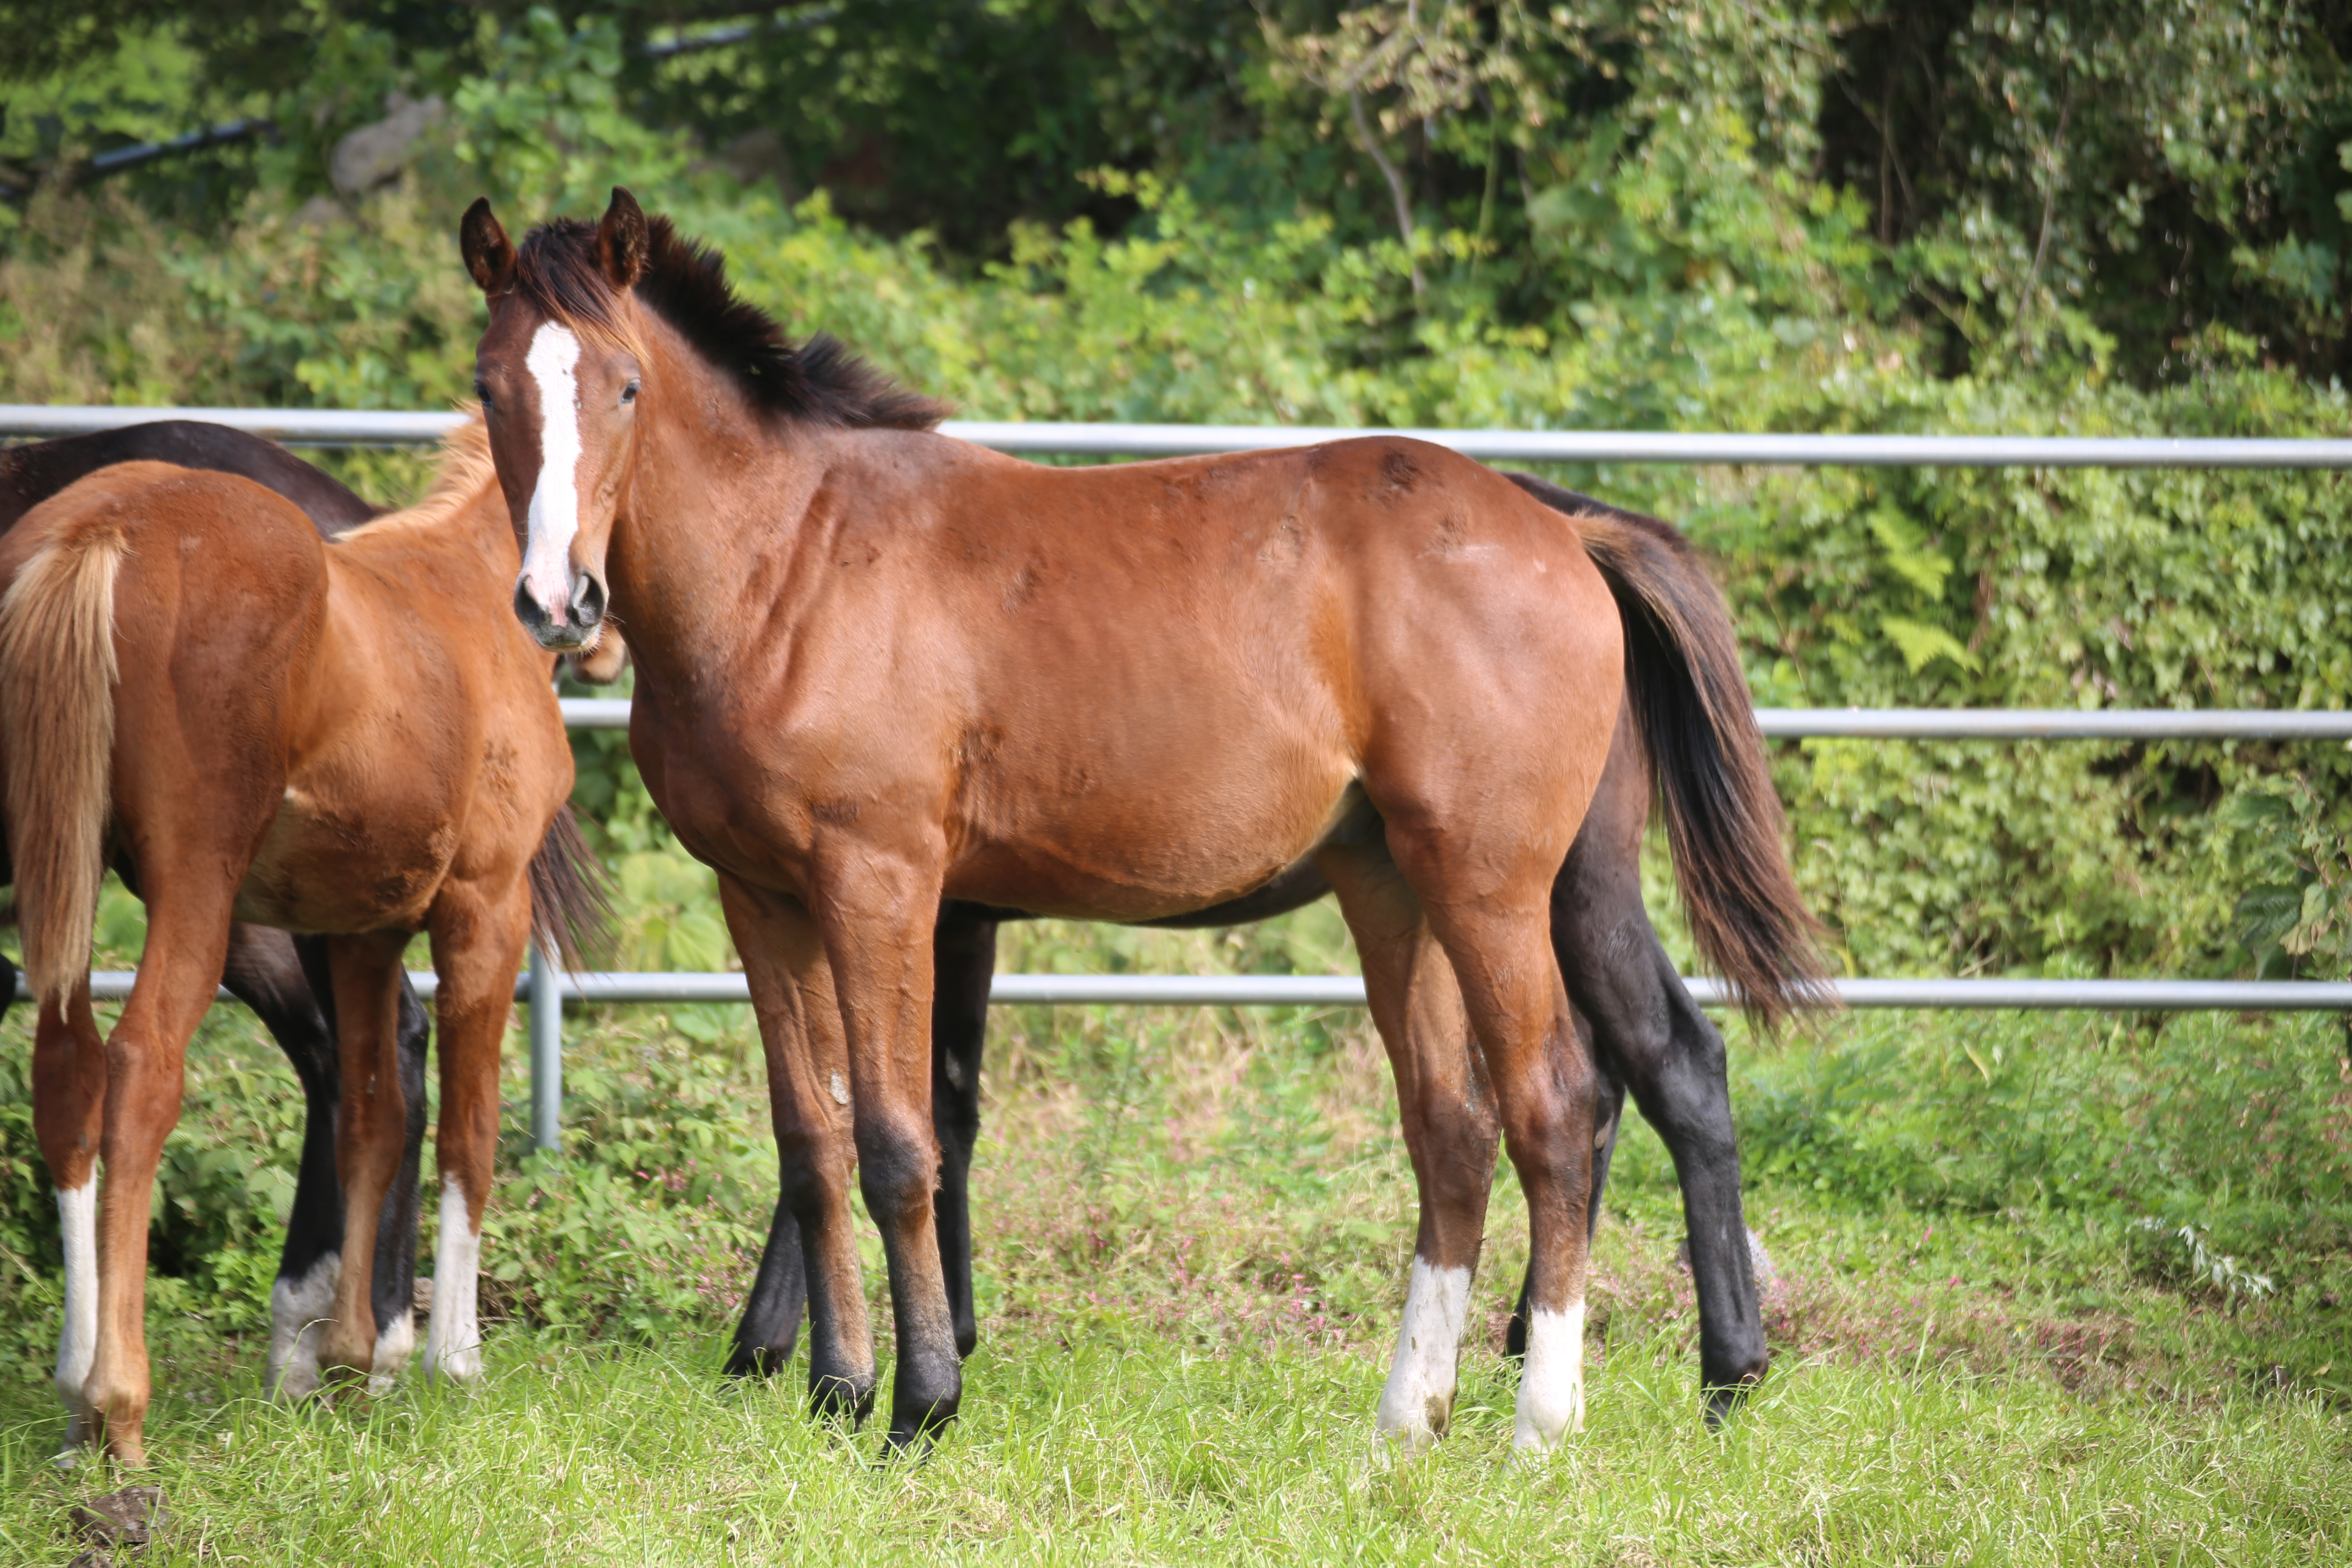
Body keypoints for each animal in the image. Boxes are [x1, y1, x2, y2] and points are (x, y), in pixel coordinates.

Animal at [2, 416, 607, 1457]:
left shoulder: (360, 928)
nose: (584, 615)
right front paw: (453, 1359)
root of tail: (105, 523)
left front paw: (358, 1355)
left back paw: (110, 1390)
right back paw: (121, 1397)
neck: (464, 585)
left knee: (74, 1070)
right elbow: (471, 1129)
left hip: (80, 879)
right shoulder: (485, 910)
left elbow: (377, 1114)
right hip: (198, 894)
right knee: (144, 1069)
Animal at [459, 193, 1815, 1457]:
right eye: (488, 385)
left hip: (1496, 886)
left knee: (1561, 1104)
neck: (790, 564)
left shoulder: (882, 883)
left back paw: (1547, 1419)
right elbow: (813, 1142)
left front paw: (921, 1403)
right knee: (1466, 1120)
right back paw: (1420, 1416)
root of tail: (1567, 531)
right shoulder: (764, 896)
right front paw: (837, 1392)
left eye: (627, 384)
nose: (556, 601)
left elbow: (901, 1139)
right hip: (1402, 887)